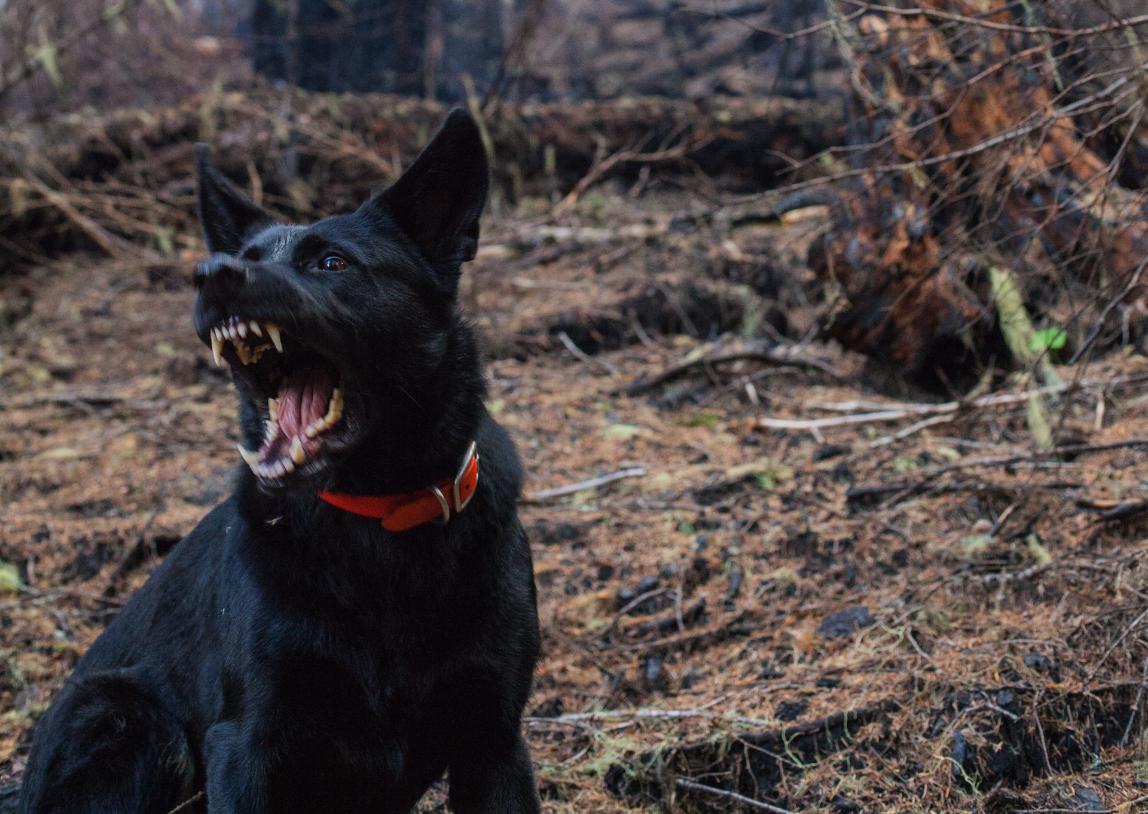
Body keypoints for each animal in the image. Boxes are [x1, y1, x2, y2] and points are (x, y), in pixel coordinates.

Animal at [21, 109, 541, 812]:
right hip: (128, 715)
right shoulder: (248, 742)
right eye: (243, 258)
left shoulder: (494, 743)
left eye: (332, 262)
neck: (379, 519)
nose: (211, 273)